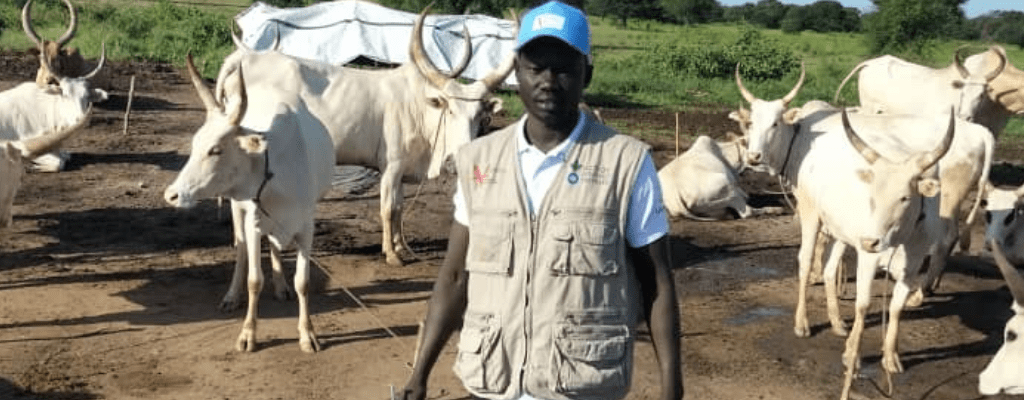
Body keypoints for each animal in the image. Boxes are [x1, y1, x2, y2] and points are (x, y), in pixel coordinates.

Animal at [161, 55, 333, 353]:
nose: (172, 195)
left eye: (216, 149)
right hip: (237, 208)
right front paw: (248, 334)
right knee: (241, 250)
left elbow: (303, 282)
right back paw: (232, 296)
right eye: (195, 145)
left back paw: (281, 287)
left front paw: (307, 333)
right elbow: (254, 280)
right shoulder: (253, 221)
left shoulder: (306, 227)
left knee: (274, 247)